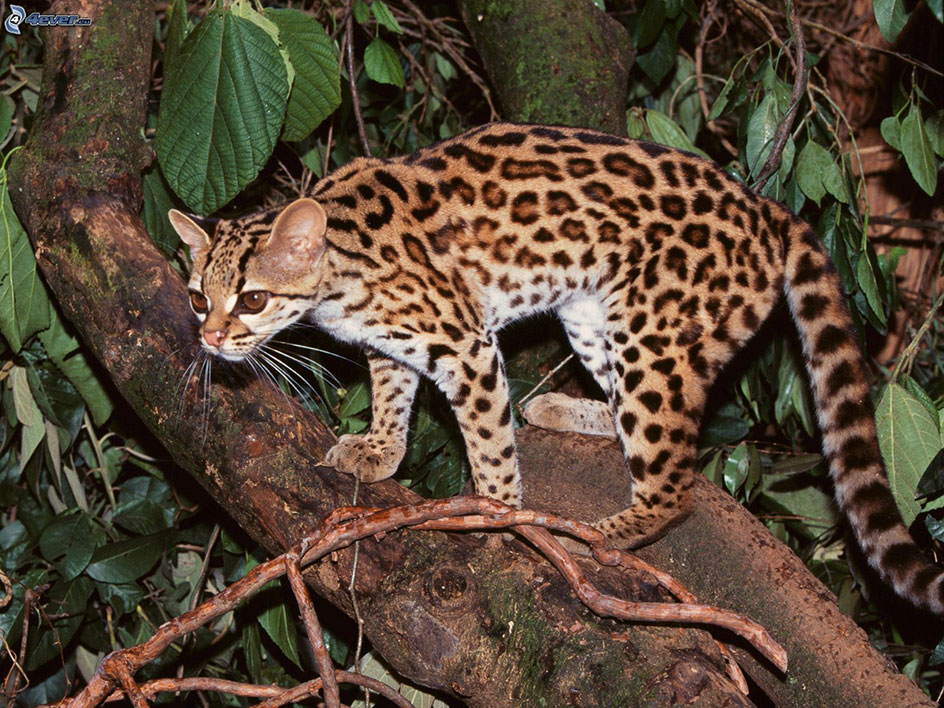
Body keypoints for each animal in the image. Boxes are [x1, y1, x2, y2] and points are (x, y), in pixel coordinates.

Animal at [170, 123, 944, 612]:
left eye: (252, 298)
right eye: (197, 295)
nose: (209, 338)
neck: (337, 275)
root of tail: (767, 210)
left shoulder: (466, 344)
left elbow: (488, 445)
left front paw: (494, 515)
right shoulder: (392, 344)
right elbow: (392, 390)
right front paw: (381, 449)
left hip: (653, 334)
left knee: (676, 478)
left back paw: (605, 533)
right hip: (594, 318)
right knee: (642, 421)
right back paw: (563, 409)